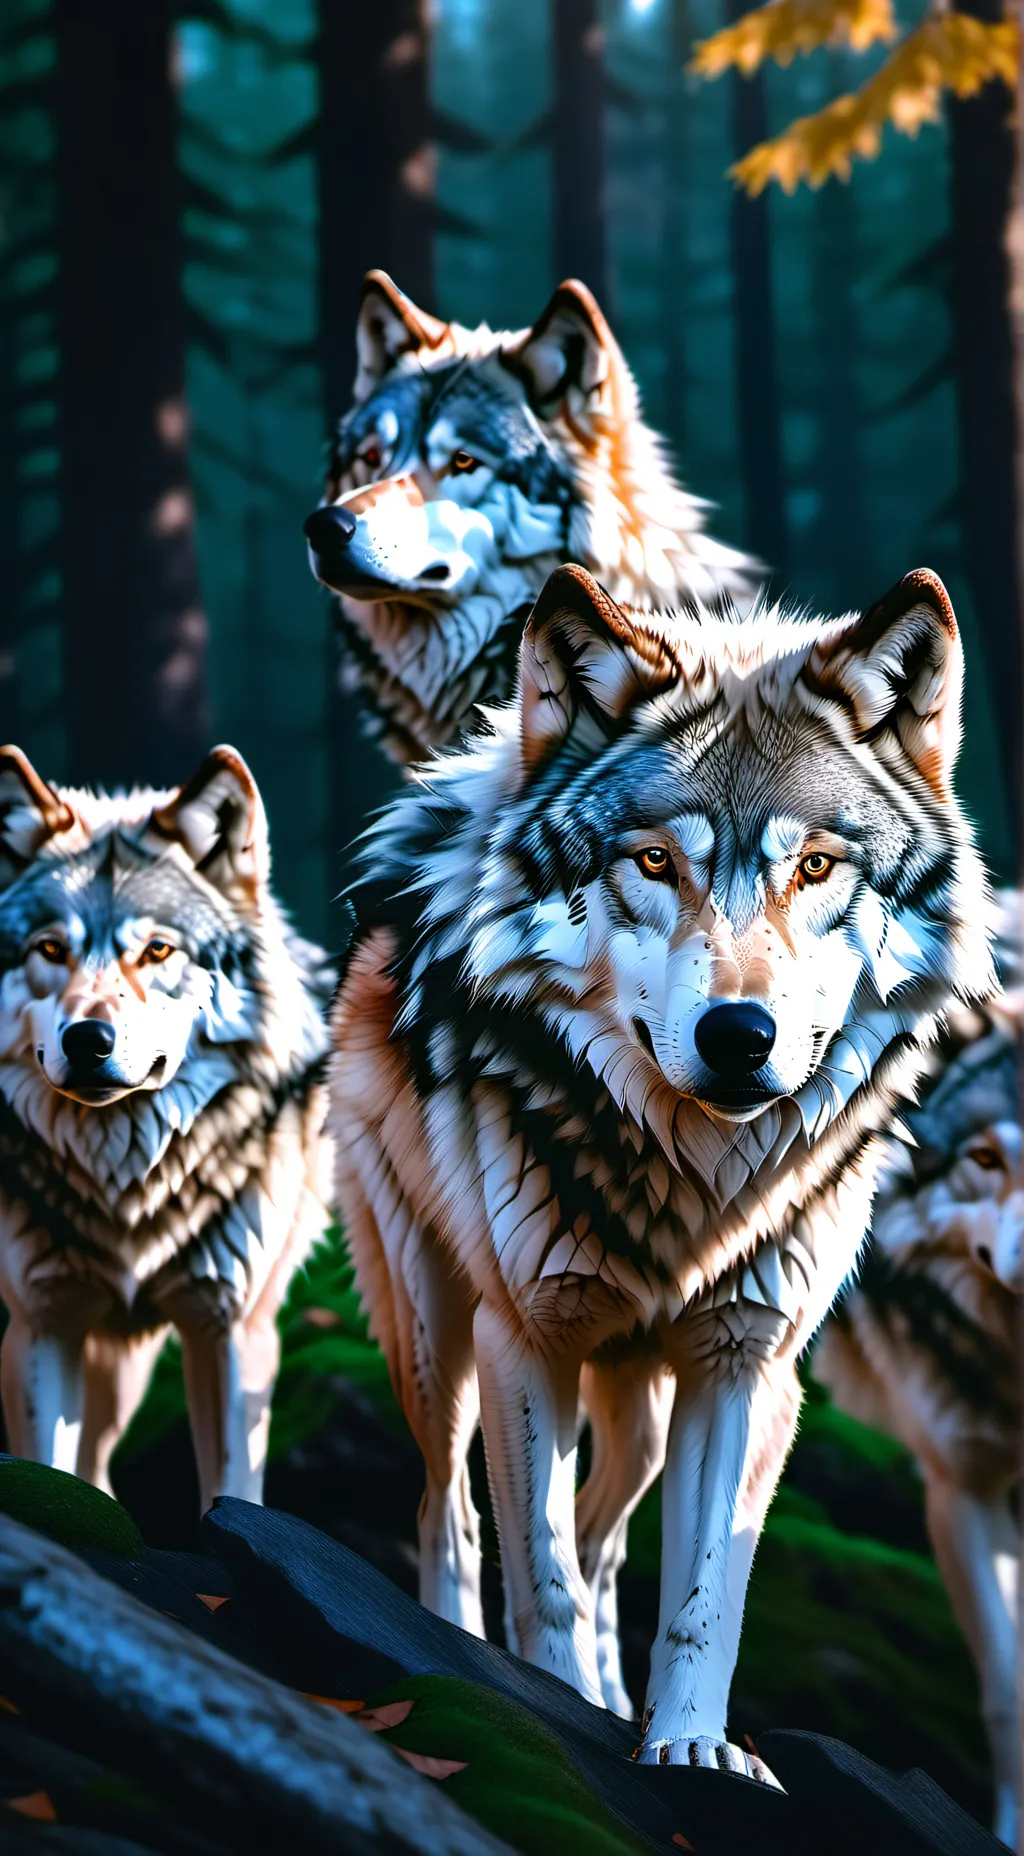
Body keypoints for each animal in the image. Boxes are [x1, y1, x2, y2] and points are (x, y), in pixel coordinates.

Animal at [0, 744, 331, 1511]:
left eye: (156, 952)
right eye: (50, 950)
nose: (88, 1039)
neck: (125, 1182)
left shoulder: (233, 1331)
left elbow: (232, 1488)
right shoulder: (40, 1326)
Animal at [331, 560, 991, 1784]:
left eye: (814, 866)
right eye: (654, 861)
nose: (740, 1035)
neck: (692, 1183)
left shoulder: (744, 1365)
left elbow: (699, 1594)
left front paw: (688, 1746)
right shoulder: (526, 1335)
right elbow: (536, 1571)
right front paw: (541, 1709)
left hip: (644, 1404)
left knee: (605, 1541)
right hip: (433, 1332)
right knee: (451, 1512)